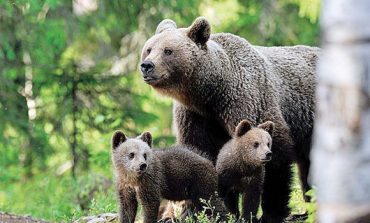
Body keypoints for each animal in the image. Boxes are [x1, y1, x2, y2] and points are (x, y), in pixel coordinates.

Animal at [139, 17, 318, 221]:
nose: (147, 65)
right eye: (149, 49)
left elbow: (275, 159)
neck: (210, 94)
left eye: (168, 50)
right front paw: (196, 211)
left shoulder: (247, 102)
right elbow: (200, 155)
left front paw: (271, 213)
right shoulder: (196, 117)